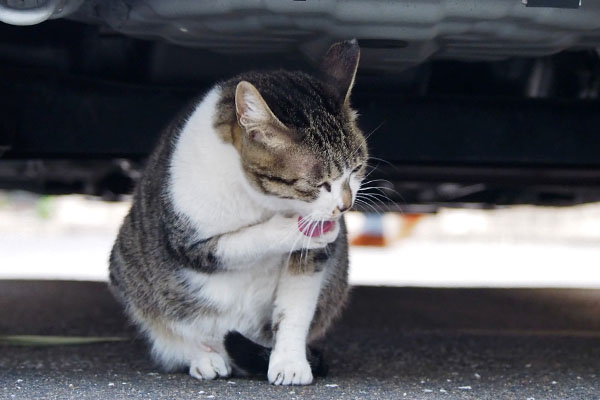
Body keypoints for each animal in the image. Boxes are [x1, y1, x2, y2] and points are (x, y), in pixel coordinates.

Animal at [109, 39, 368, 386]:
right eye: (320, 184)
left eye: (356, 169)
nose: (345, 206)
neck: (262, 199)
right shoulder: (189, 243)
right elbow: (242, 241)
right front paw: (291, 228)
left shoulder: (313, 262)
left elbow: (294, 310)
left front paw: (289, 362)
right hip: (129, 268)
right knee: (168, 330)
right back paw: (203, 357)